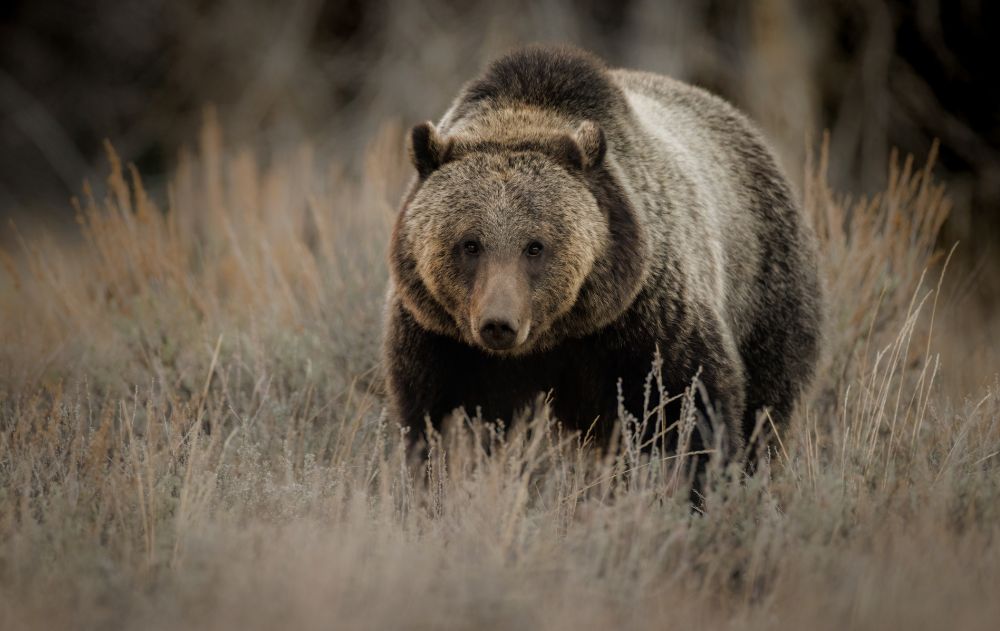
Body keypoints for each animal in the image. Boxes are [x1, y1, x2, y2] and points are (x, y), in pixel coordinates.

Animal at [382, 43, 820, 460]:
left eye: (535, 246)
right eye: (470, 243)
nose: (499, 324)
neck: (554, 337)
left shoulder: (645, 319)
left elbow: (688, 408)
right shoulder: (441, 341)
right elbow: (443, 422)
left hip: (766, 291)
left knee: (768, 404)